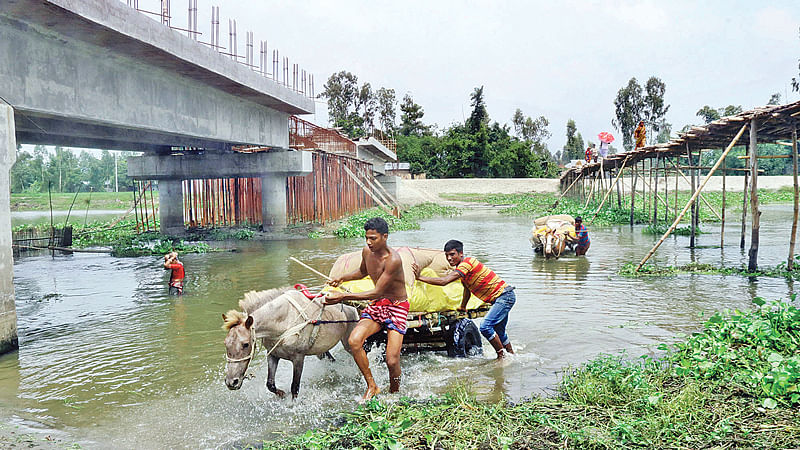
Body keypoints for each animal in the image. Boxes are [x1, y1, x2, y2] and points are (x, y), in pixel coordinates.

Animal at [219, 286, 356, 400]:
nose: (231, 382)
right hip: (321, 351)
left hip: (347, 343)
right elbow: (270, 384)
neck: (284, 322)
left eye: (246, 344)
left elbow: (295, 387)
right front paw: (281, 394)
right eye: (225, 343)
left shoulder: (298, 358)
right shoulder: (273, 355)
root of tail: (351, 306)